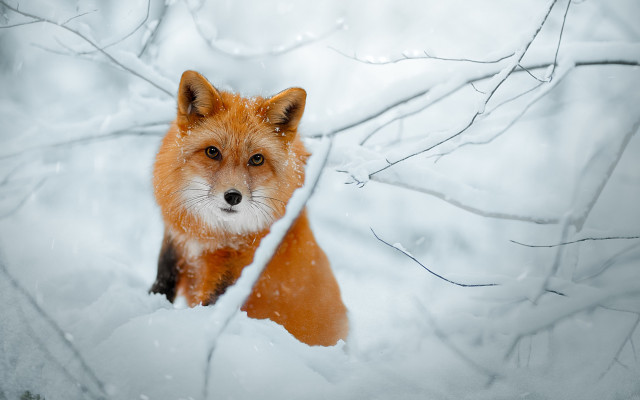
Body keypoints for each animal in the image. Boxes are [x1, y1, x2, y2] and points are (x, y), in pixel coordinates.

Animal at [149, 70, 348, 346]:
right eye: (213, 152)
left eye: (257, 159)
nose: (233, 196)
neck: (211, 233)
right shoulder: (175, 239)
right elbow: (163, 279)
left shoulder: (240, 262)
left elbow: (213, 304)